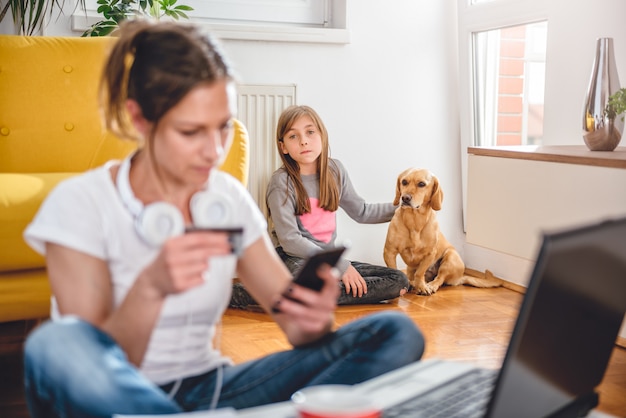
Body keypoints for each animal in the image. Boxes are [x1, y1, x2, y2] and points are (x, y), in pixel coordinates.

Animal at [382, 168, 500, 296]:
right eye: (404, 182)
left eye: (421, 184)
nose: (405, 198)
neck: (414, 221)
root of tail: (460, 278)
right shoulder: (389, 251)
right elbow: (396, 270)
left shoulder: (430, 254)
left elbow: (420, 273)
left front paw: (422, 287)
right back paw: (413, 284)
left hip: (450, 257)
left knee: (439, 278)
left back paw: (430, 285)